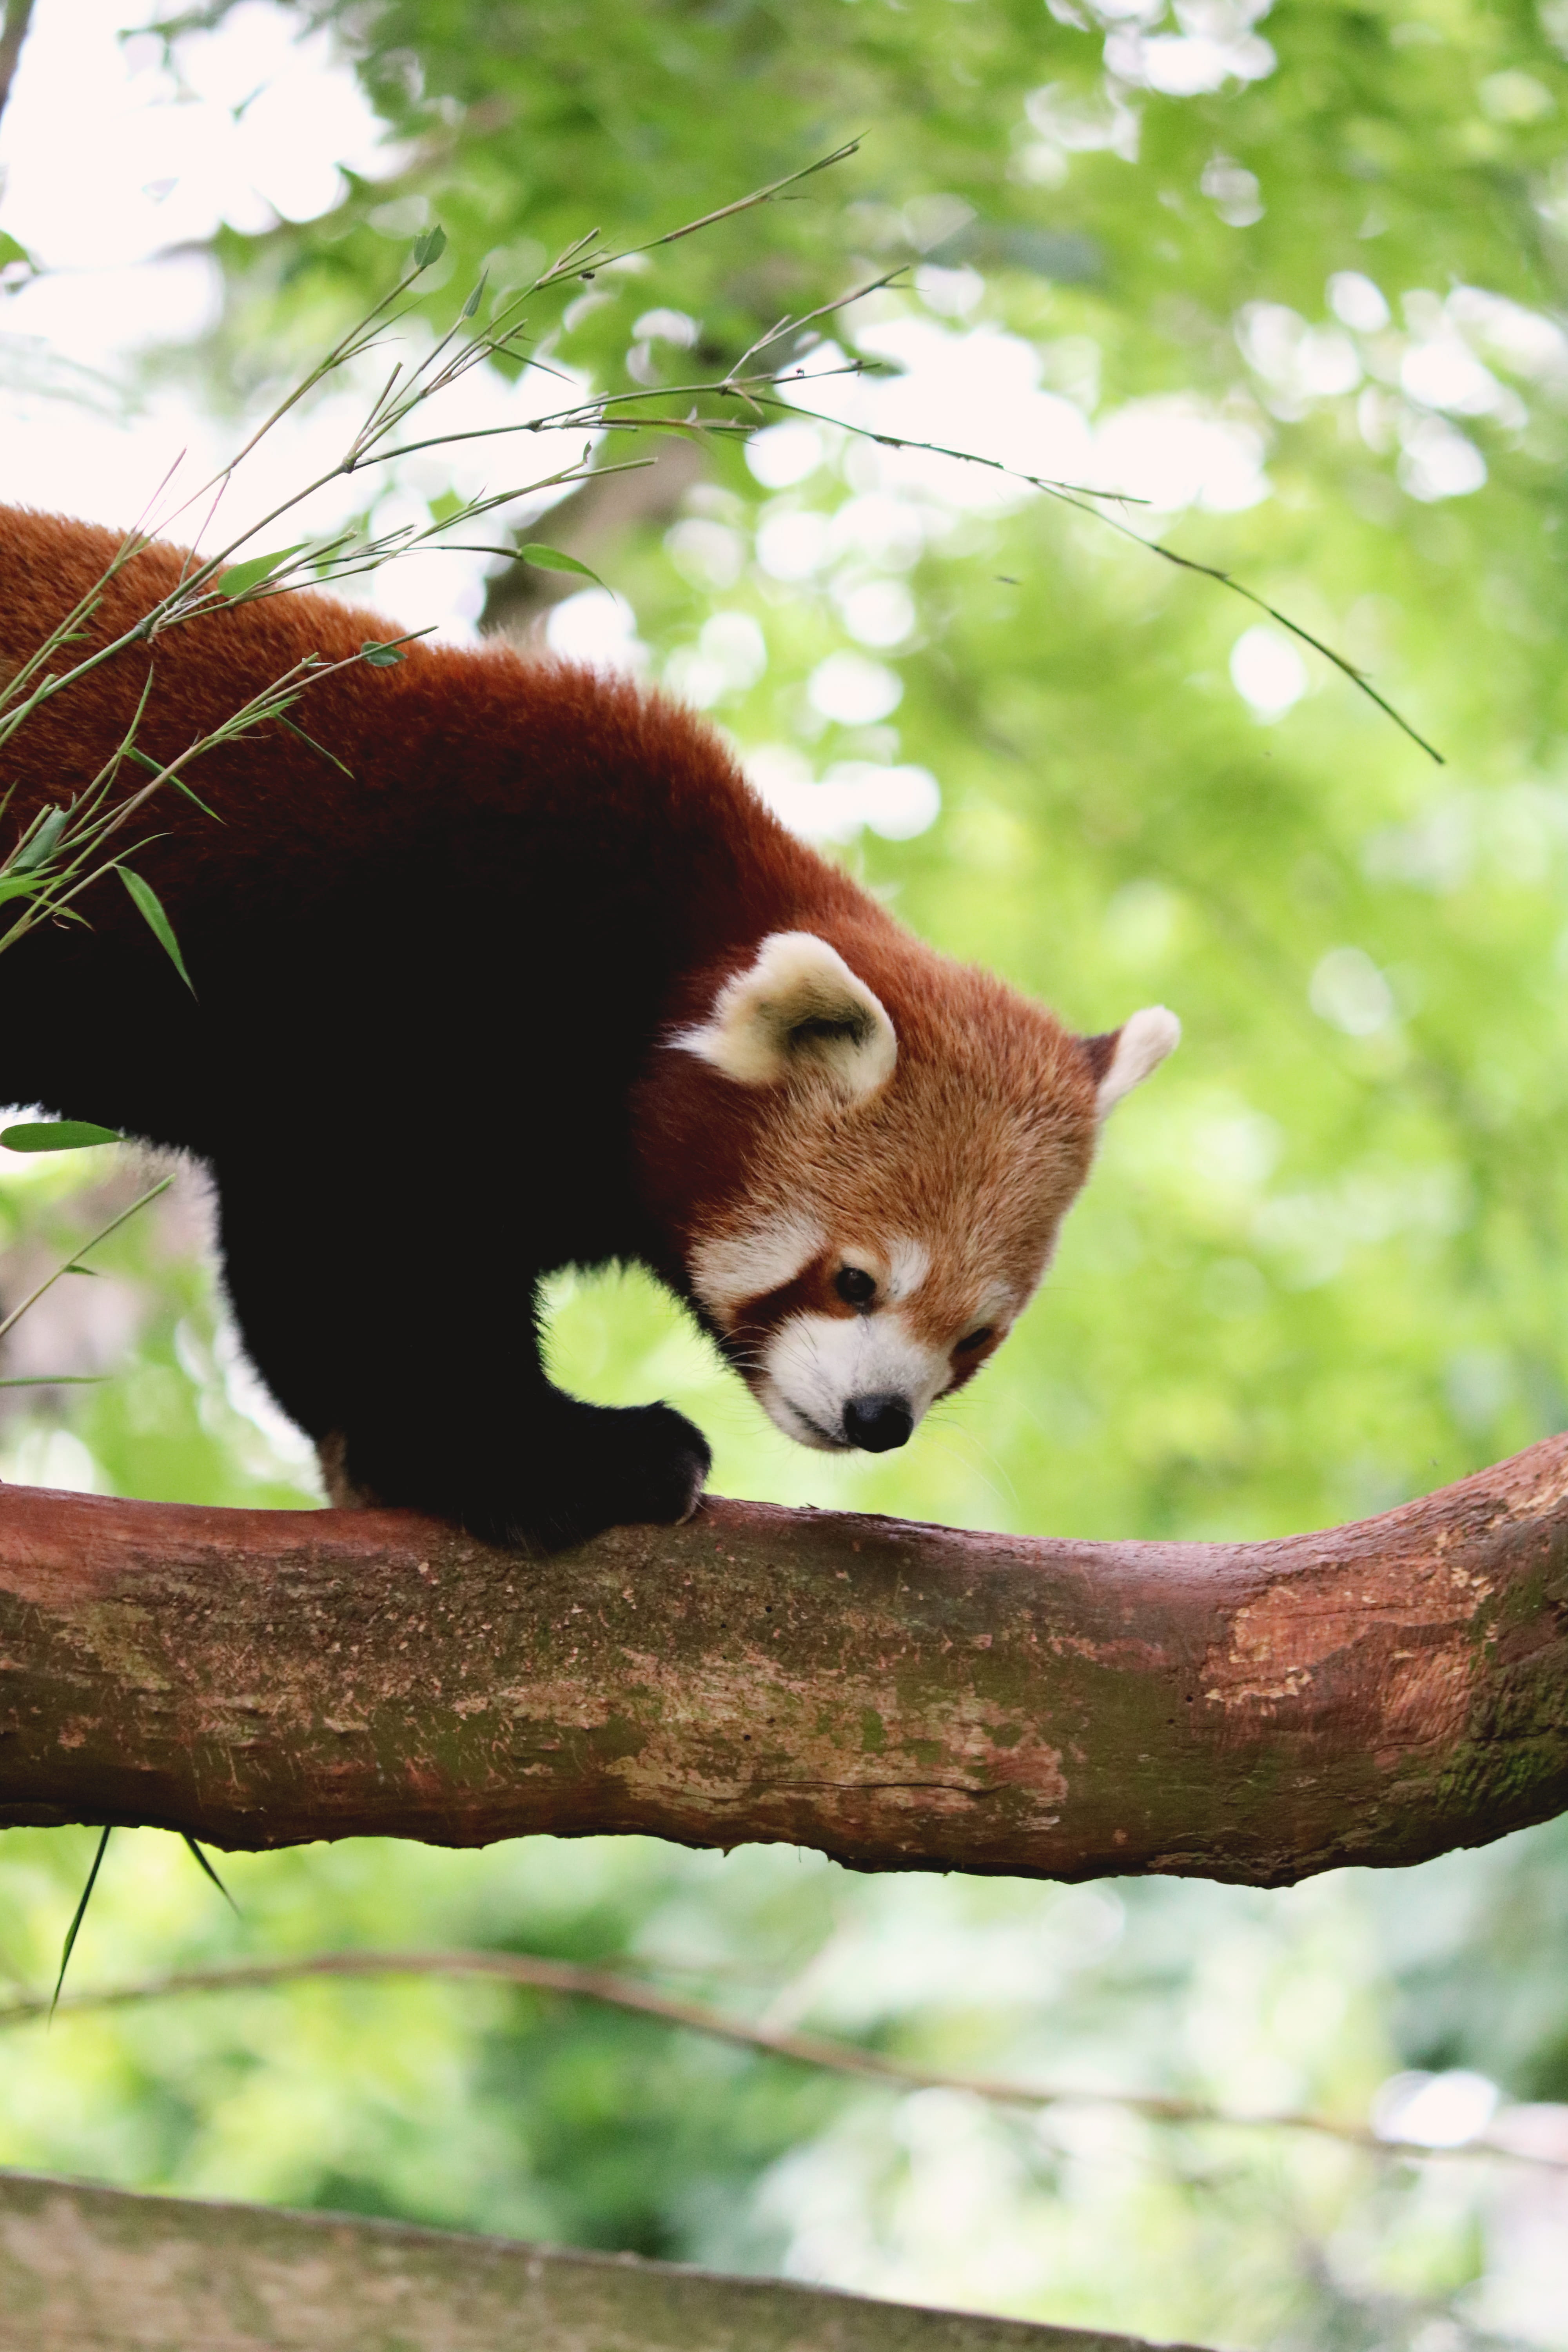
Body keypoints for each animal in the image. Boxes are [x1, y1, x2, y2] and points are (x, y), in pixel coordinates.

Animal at [0, 509, 1177, 1549]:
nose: (880, 1419)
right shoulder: (427, 989)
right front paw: (547, 1460)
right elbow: (378, 1264)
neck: (658, 955)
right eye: (855, 1281)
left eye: (977, 1337)